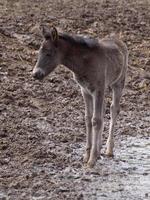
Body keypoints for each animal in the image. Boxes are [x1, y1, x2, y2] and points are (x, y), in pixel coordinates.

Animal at [32, 26, 127, 167]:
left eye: (49, 53)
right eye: (39, 52)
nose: (35, 74)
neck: (84, 63)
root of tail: (119, 40)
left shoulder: (98, 90)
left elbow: (96, 120)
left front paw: (91, 160)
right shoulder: (85, 90)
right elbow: (88, 119)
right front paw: (87, 155)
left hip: (118, 83)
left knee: (114, 109)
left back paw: (109, 150)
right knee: (103, 111)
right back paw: (99, 149)